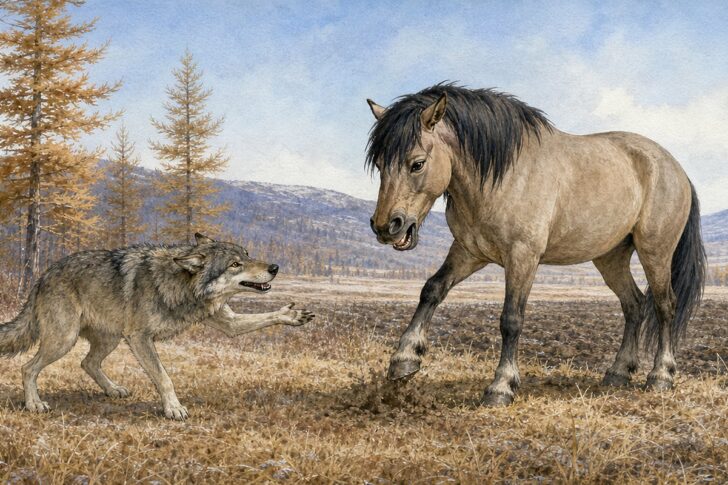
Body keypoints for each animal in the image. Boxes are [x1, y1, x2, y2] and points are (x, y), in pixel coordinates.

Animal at [365, 83, 705, 406]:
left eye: (417, 163)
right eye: (380, 164)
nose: (387, 226)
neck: (501, 176)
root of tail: (676, 169)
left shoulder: (522, 257)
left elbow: (511, 319)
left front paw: (501, 387)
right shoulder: (469, 252)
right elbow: (432, 290)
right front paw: (404, 360)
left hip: (655, 251)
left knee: (664, 305)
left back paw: (661, 376)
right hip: (611, 257)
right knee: (633, 304)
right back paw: (618, 372)